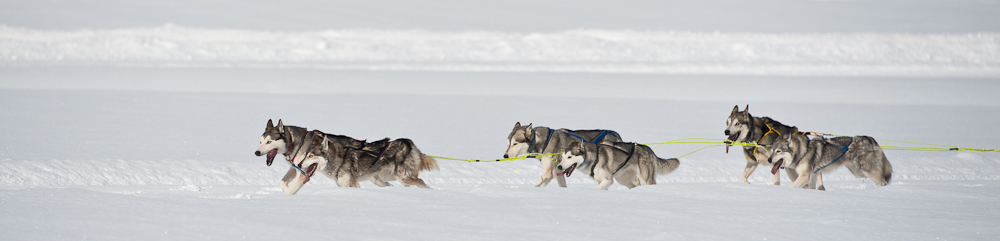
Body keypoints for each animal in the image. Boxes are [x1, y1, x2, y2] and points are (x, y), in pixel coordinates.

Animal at [282, 130, 438, 194]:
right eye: (305, 155)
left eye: (311, 156)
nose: (298, 165)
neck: (338, 161)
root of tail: (407, 141)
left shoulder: (352, 185)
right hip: (387, 177)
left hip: (403, 177)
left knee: (422, 182)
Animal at [768, 134, 896, 190]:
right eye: (772, 150)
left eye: (778, 151)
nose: (769, 159)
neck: (802, 152)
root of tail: (868, 138)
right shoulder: (813, 175)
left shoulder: (804, 176)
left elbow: (792, 186)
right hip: (858, 173)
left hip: (866, 169)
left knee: (882, 182)